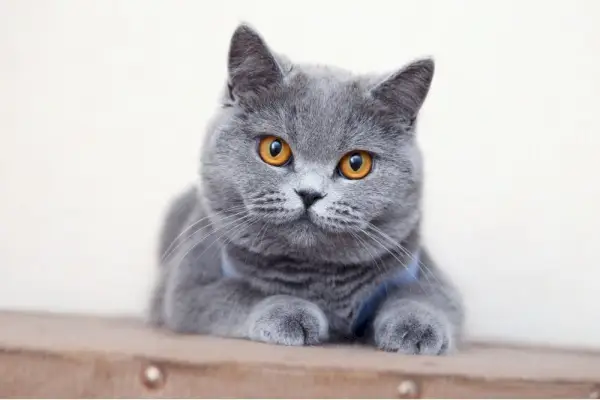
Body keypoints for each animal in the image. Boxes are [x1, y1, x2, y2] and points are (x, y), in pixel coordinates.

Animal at [149, 23, 464, 354]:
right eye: (274, 149)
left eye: (356, 163)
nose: (309, 193)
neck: (318, 279)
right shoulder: (187, 287)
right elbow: (241, 292)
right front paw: (289, 313)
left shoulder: (428, 274)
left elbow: (425, 296)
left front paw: (418, 327)